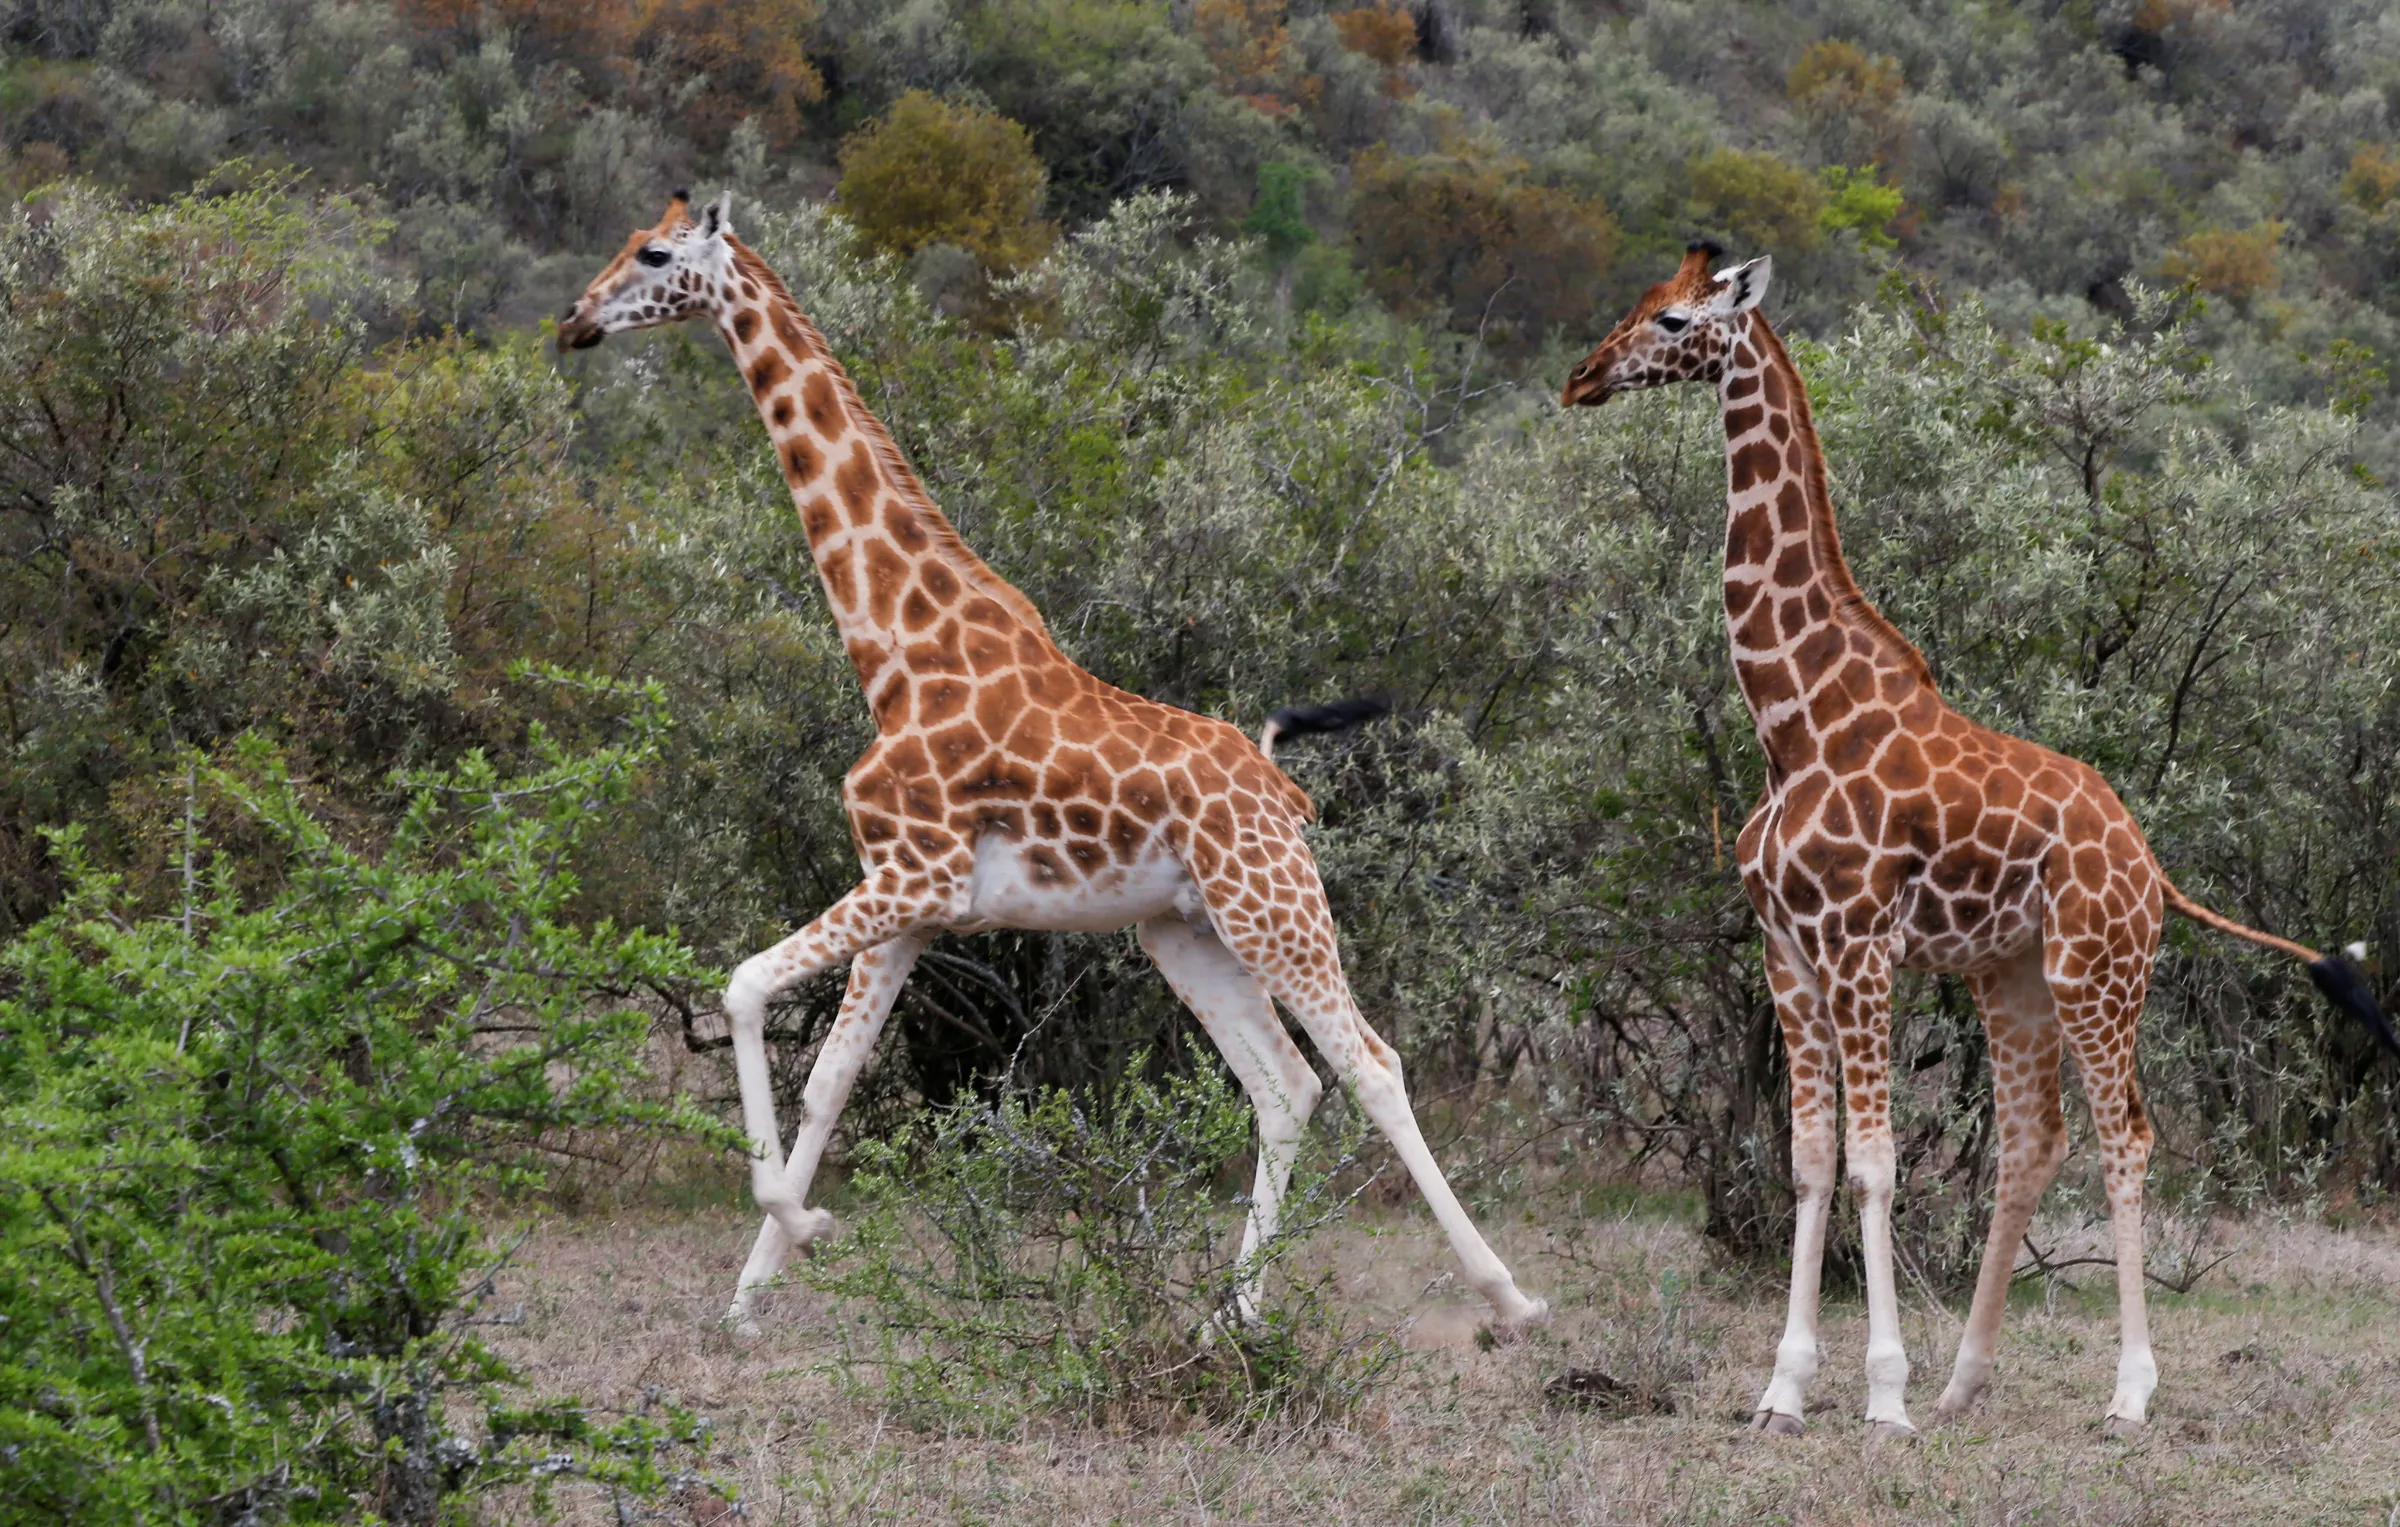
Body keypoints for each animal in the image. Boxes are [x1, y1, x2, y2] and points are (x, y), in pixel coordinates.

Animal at [554, 190, 1545, 1334]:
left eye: (653, 254)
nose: (574, 320)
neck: (892, 653)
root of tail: (1279, 782)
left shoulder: (914, 876)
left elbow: (745, 983)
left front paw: (799, 1228)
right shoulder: (912, 899)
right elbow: (830, 1079)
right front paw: (752, 1296)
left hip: (1272, 907)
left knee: (1372, 1065)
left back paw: (1508, 1297)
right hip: (1183, 929)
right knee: (1285, 1085)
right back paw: (1230, 1315)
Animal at [1564, 244, 2390, 1440]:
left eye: (1673, 320)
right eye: (1635, 304)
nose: (1581, 375)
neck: (1791, 721)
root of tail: (2152, 863)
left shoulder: (1859, 943)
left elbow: (1874, 1164)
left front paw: (1883, 1397)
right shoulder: (1788, 952)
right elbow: (1809, 1161)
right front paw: (1785, 1390)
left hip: (2098, 971)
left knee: (2127, 1135)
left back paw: (2127, 1394)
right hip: (2015, 975)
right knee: (2034, 1142)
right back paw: (1967, 1379)